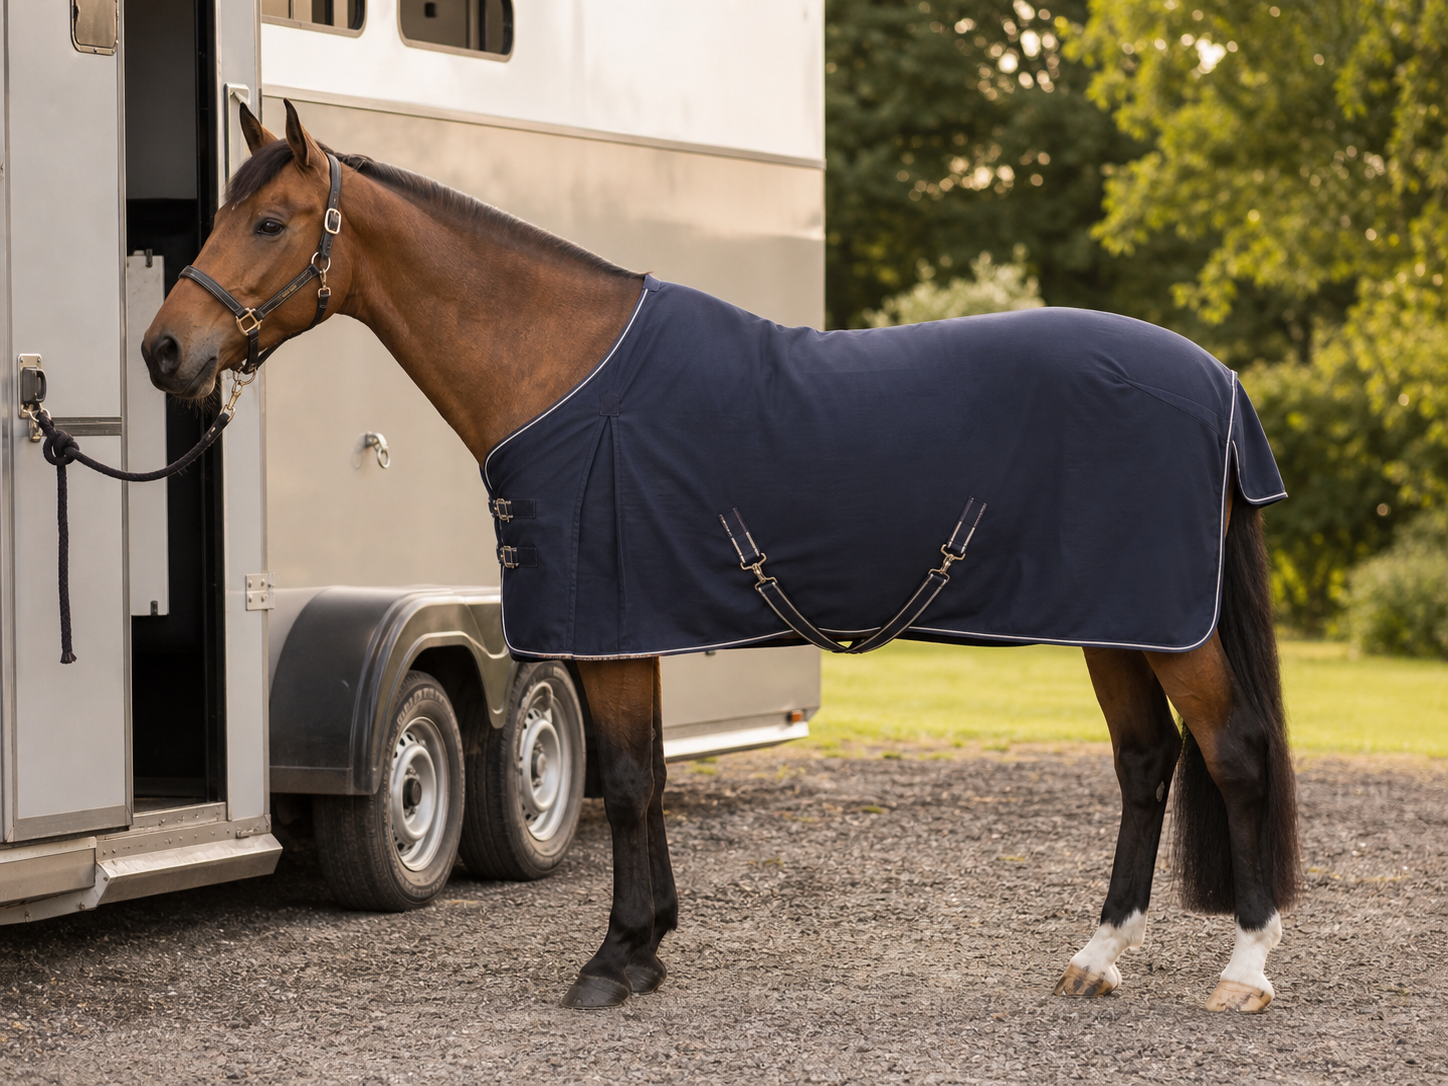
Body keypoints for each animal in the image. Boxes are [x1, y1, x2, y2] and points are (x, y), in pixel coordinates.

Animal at [142, 101, 1300, 1013]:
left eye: (271, 221)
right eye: (222, 214)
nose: (165, 349)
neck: (566, 370)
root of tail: (1216, 379)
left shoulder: (606, 629)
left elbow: (625, 783)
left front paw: (613, 959)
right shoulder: (630, 632)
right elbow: (646, 775)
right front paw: (646, 945)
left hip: (1168, 630)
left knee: (1234, 751)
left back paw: (1243, 968)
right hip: (1116, 625)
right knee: (1146, 764)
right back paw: (1097, 957)